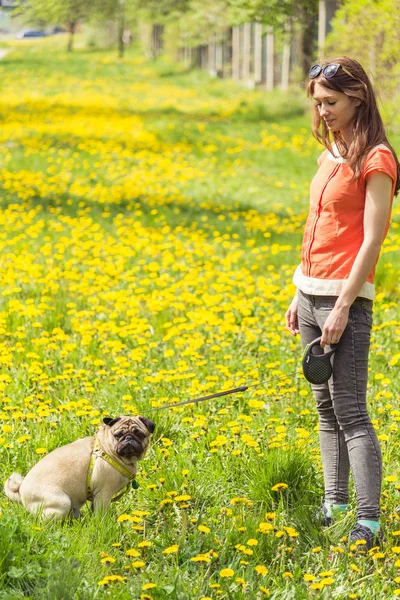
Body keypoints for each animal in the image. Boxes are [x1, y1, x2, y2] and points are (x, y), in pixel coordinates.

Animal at [3, 412, 156, 520]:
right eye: (118, 435)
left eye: (139, 434)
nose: (129, 438)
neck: (108, 450)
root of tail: (21, 491)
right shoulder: (104, 494)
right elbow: (101, 515)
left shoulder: (96, 496)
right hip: (62, 502)